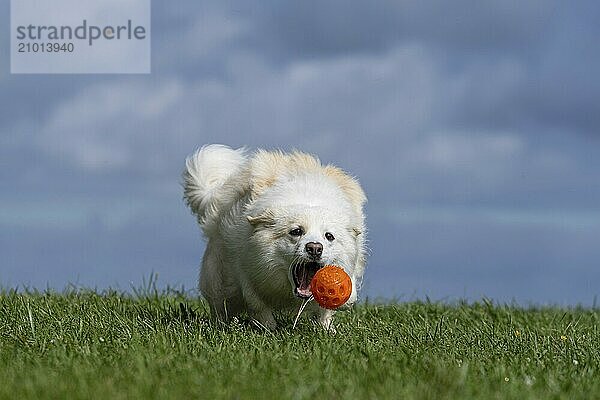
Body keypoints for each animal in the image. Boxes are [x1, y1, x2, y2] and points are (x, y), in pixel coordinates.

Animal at [183, 144, 368, 328]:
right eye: (296, 231)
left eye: (329, 236)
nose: (315, 248)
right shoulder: (246, 272)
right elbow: (259, 306)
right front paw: (268, 330)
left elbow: (327, 310)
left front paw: (326, 329)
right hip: (218, 280)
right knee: (220, 306)